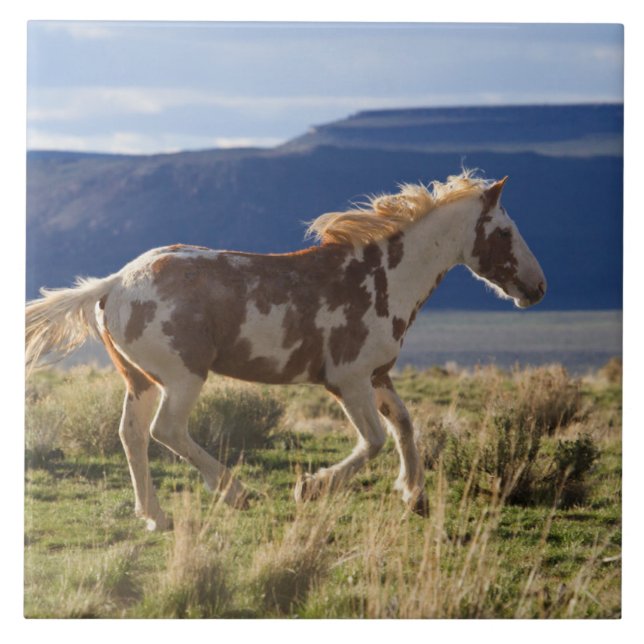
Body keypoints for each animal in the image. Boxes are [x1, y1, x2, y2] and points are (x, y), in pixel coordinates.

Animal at [25, 170, 546, 530]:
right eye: (504, 231)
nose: (538, 288)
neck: (384, 280)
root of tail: (113, 283)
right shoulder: (347, 380)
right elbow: (373, 440)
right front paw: (311, 487)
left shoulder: (377, 375)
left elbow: (404, 424)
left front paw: (414, 495)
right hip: (183, 376)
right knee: (166, 430)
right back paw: (236, 491)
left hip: (140, 380)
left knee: (131, 435)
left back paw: (156, 515)